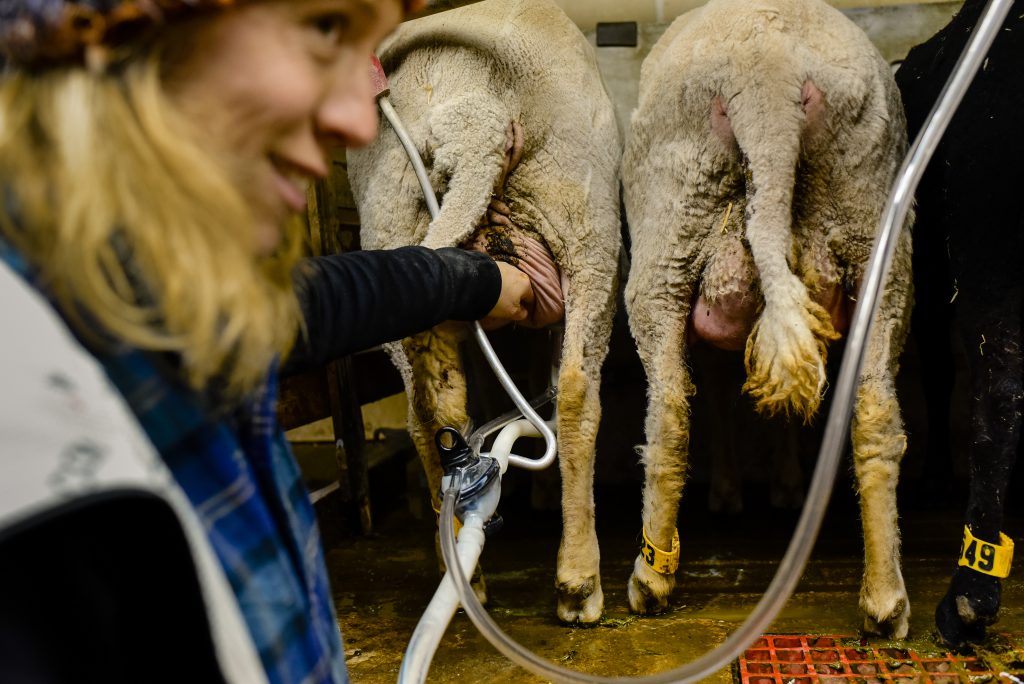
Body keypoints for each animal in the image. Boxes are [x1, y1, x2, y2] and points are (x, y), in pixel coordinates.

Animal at [348, 0, 618, 626]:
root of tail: (465, 110)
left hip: (396, 228)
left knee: (432, 413)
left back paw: (468, 574)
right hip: (585, 225)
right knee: (575, 391)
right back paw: (579, 584)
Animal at [618, 0, 917, 638]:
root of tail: (769, 76)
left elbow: (718, 394)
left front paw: (735, 490)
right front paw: (783, 484)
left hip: (670, 238)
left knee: (670, 413)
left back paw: (651, 578)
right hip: (873, 231)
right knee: (875, 413)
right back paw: (885, 601)